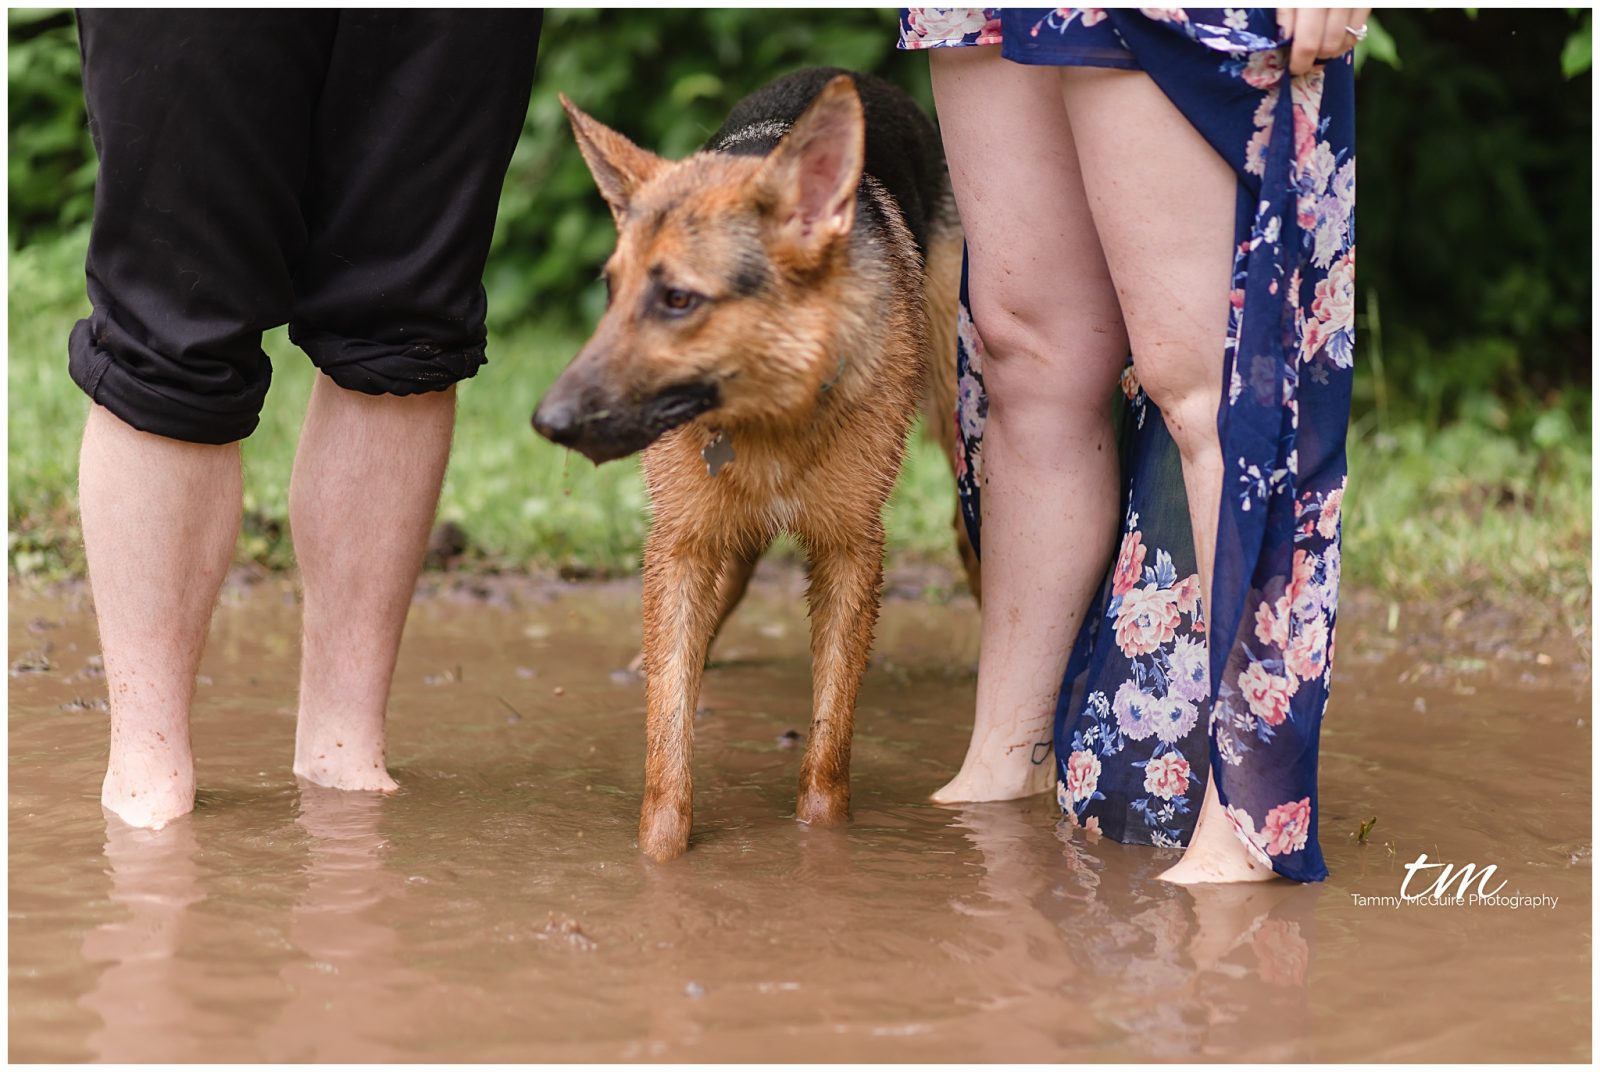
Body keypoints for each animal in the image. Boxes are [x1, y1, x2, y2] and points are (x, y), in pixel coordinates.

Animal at [531, 69, 966, 864]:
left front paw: (820, 849)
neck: (770, 417)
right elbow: (668, 742)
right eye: (610, 291)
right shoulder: (679, 542)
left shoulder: (851, 550)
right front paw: (658, 863)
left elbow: (828, 750)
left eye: (678, 299)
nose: (548, 423)